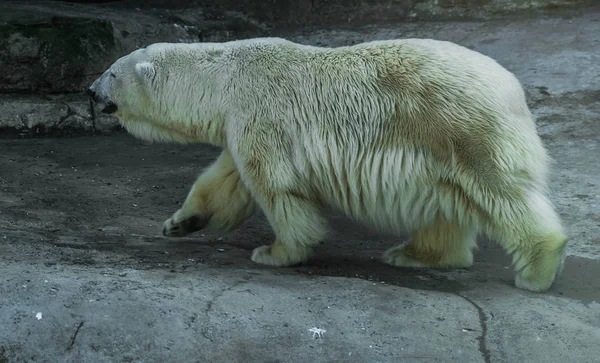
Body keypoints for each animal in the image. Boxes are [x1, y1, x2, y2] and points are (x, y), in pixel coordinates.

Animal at [88, 37, 568, 292]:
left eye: (110, 72)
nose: (89, 90)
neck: (224, 79)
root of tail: (513, 88)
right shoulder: (237, 126)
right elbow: (224, 181)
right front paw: (179, 223)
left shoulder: (260, 116)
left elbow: (276, 187)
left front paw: (276, 252)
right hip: (441, 149)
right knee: (450, 201)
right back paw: (415, 254)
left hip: (461, 127)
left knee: (499, 193)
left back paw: (537, 269)